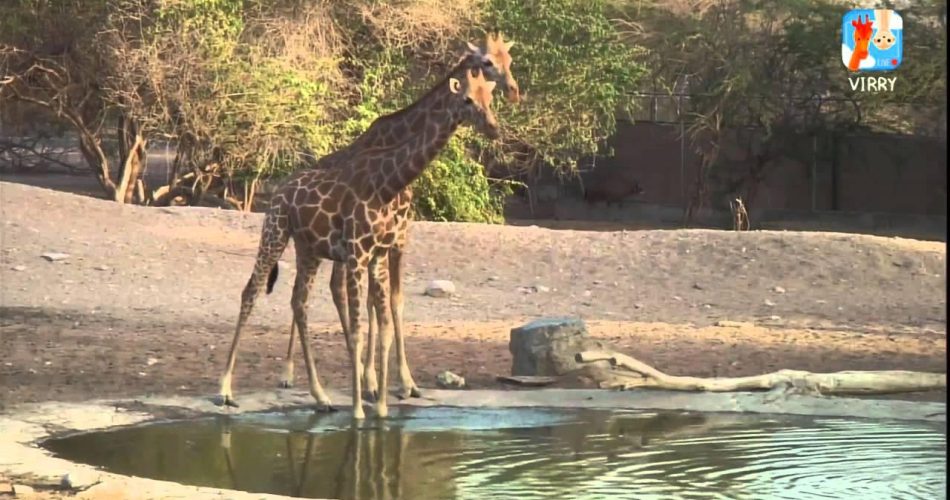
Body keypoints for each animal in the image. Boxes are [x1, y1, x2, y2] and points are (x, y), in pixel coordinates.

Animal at [218, 65, 502, 418]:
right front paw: (359, 409)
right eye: (467, 99)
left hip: (308, 249)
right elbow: (359, 329)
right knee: (252, 291)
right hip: (275, 232)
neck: (389, 184)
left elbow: (384, 322)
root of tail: (280, 188)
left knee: (299, 301)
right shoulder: (357, 254)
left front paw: (381, 406)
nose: (493, 127)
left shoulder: (379, 254)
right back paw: (226, 389)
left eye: (489, 98)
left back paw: (320, 395)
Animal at [272, 33, 524, 400]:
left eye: (509, 60)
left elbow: (393, 302)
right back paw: (289, 372)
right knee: (324, 292)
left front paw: (402, 381)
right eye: (488, 62)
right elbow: (376, 306)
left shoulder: (399, 238)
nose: (514, 90)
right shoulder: (378, 241)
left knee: (331, 290)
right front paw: (375, 380)